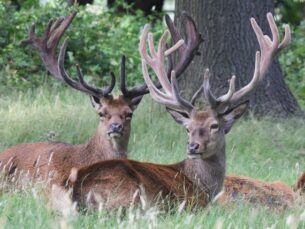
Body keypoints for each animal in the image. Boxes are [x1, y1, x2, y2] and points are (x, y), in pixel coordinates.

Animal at [55, 12, 292, 210]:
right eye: (188, 128)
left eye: (214, 126)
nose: (193, 146)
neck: (204, 187)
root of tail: (76, 191)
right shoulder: (195, 205)